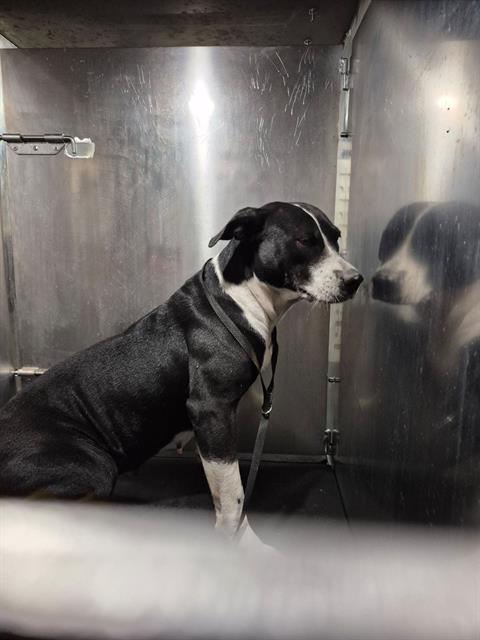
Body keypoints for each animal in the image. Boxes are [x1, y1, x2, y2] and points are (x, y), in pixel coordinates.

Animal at [0, 201, 362, 536]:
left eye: (336, 237)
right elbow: (233, 492)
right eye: (305, 240)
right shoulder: (211, 410)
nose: (356, 280)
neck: (242, 298)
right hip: (93, 466)